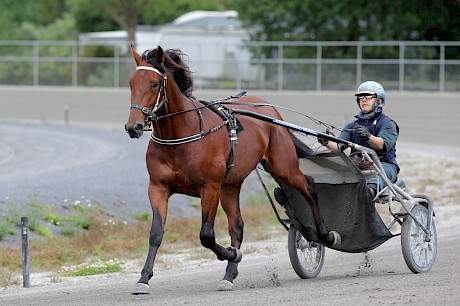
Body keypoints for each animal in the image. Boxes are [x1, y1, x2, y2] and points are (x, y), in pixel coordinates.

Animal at [126, 46, 342, 294]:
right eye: (131, 83)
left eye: (154, 84)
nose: (134, 126)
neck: (180, 136)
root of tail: (270, 109)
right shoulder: (158, 187)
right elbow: (155, 234)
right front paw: (143, 278)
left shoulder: (210, 187)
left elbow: (206, 235)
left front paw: (232, 253)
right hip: (230, 185)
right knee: (237, 226)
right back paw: (229, 275)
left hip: (283, 167)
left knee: (309, 187)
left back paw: (325, 235)